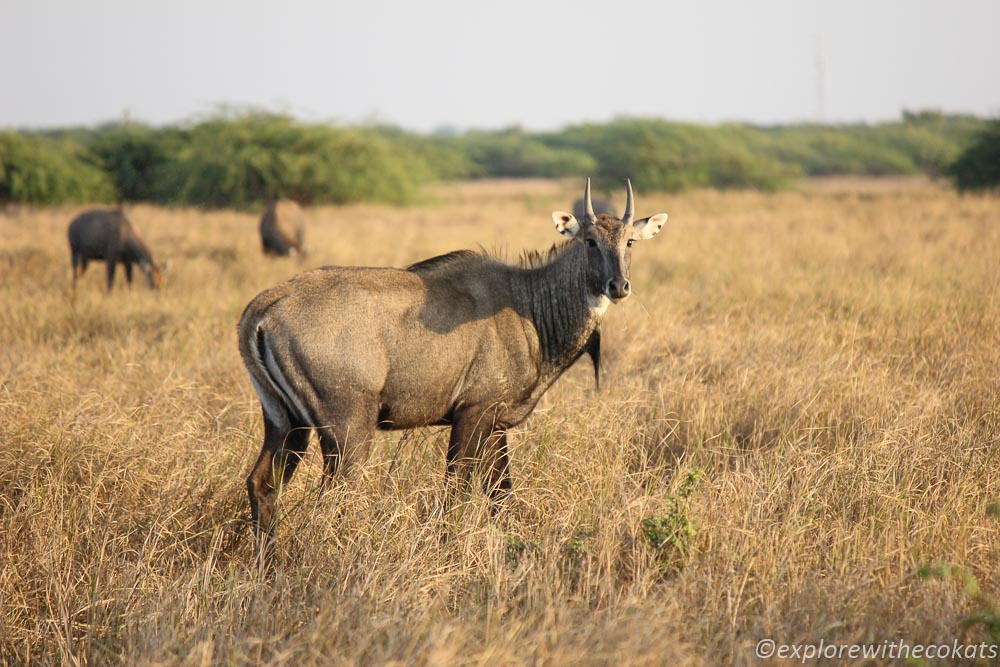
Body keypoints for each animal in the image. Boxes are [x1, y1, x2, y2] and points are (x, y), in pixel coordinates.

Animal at [238, 176, 668, 552]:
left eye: (629, 240)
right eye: (590, 241)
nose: (618, 286)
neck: (529, 306)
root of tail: (264, 308)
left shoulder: (495, 422)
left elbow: (501, 493)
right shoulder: (471, 413)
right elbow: (456, 489)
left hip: (286, 424)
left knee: (262, 484)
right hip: (346, 432)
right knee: (335, 497)